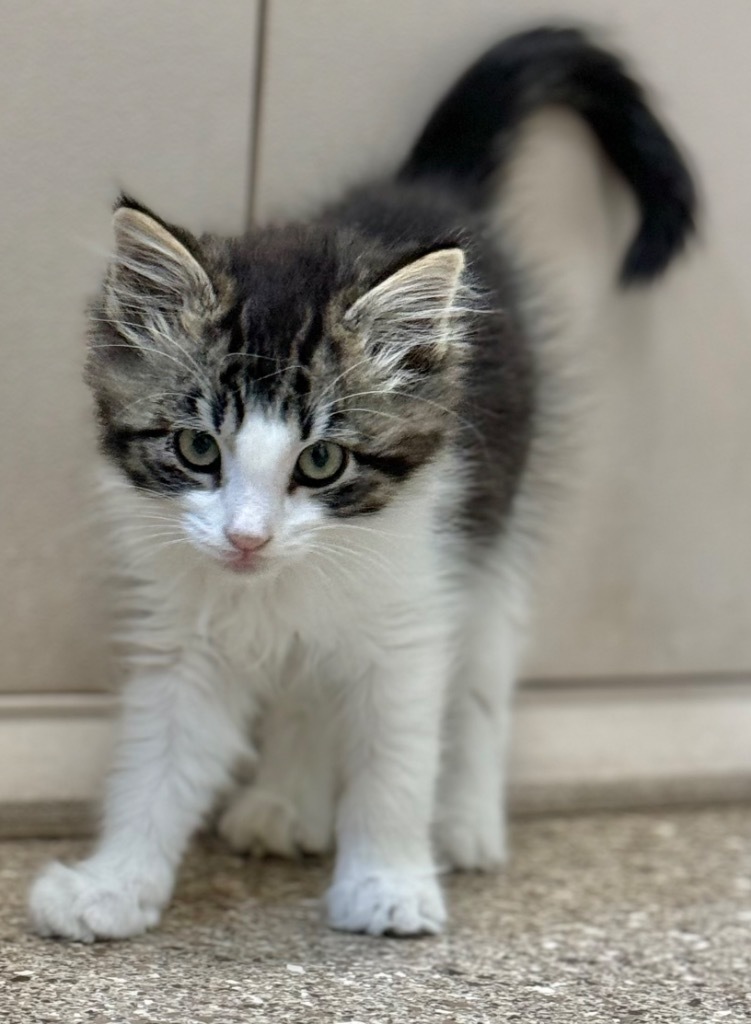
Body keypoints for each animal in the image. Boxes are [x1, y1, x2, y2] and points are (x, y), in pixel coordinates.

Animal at [29, 24, 696, 937]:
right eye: (197, 450)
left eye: (321, 461)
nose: (247, 538)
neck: (279, 580)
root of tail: (423, 186)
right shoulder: (186, 633)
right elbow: (159, 761)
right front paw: (114, 885)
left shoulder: (412, 607)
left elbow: (395, 759)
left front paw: (388, 882)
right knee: (312, 681)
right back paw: (286, 804)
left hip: (499, 521)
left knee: (483, 676)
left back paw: (465, 824)